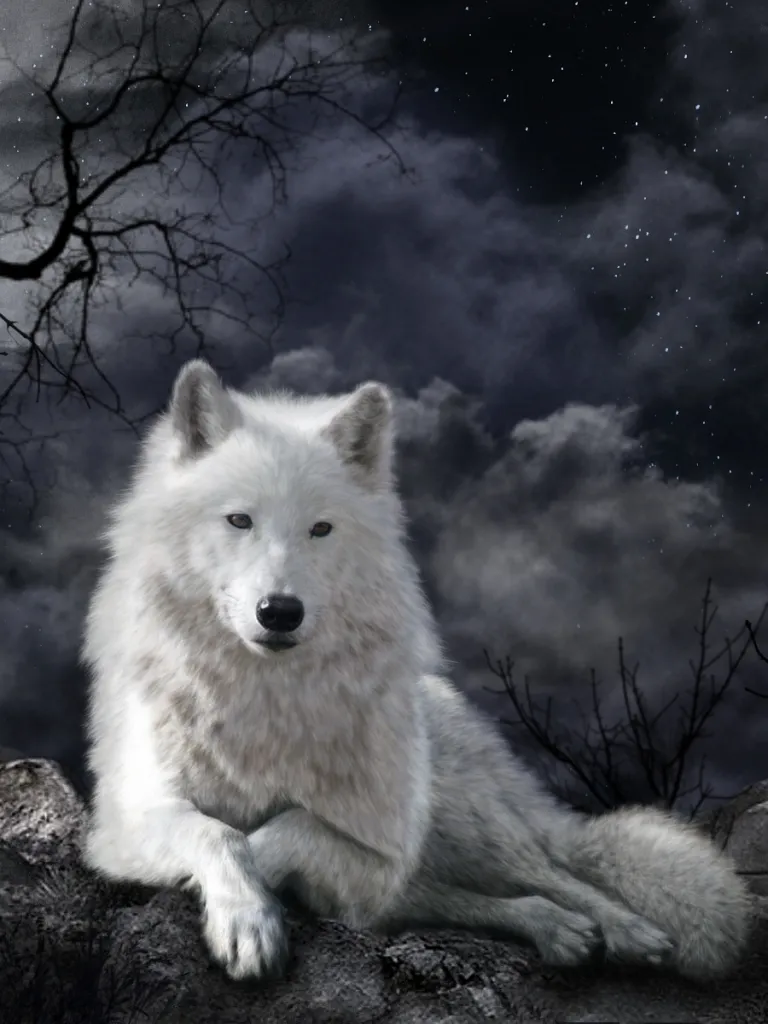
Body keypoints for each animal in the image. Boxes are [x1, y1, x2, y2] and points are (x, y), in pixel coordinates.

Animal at [82, 359, 752, 984]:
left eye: (320, 528)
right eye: (239, 520)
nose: (280, 612)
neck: (266, 698)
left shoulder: (382, 849)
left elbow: (289, 828)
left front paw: (256, 897)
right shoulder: (125, 822)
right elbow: (216, 832)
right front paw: (246, 919)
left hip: (468, 822)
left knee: (558, 873)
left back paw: (630, 931)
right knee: (475, 898)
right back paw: (559, 930)